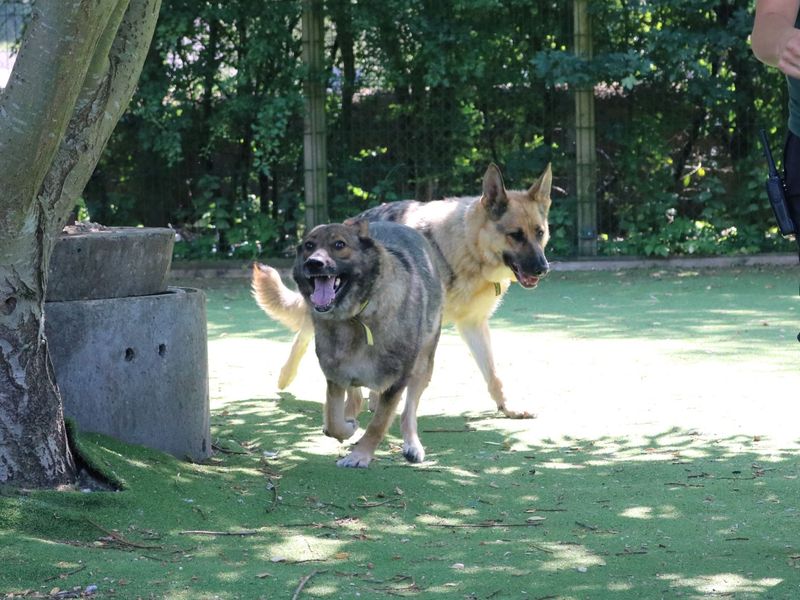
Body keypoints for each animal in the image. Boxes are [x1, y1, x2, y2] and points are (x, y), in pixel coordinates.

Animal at [253, 162, 552, 420]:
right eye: (515, 235)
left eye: (539, 233)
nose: (543, 268)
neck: (465, 246)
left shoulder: (472, 325)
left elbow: (493, 373)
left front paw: (508, 407)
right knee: (306, 331)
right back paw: (290, 377)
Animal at [255, 220, 444, 468]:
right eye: (309, 245)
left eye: (339, 244)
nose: (313, 263)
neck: (357, 315)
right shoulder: (335, 376)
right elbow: (333, 419)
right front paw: (347, 428)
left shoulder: (397, 382)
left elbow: (378, 423)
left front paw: (360, 455)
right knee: (355, 398)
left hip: (422, 364)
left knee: (408, 409)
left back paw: (412, 443)